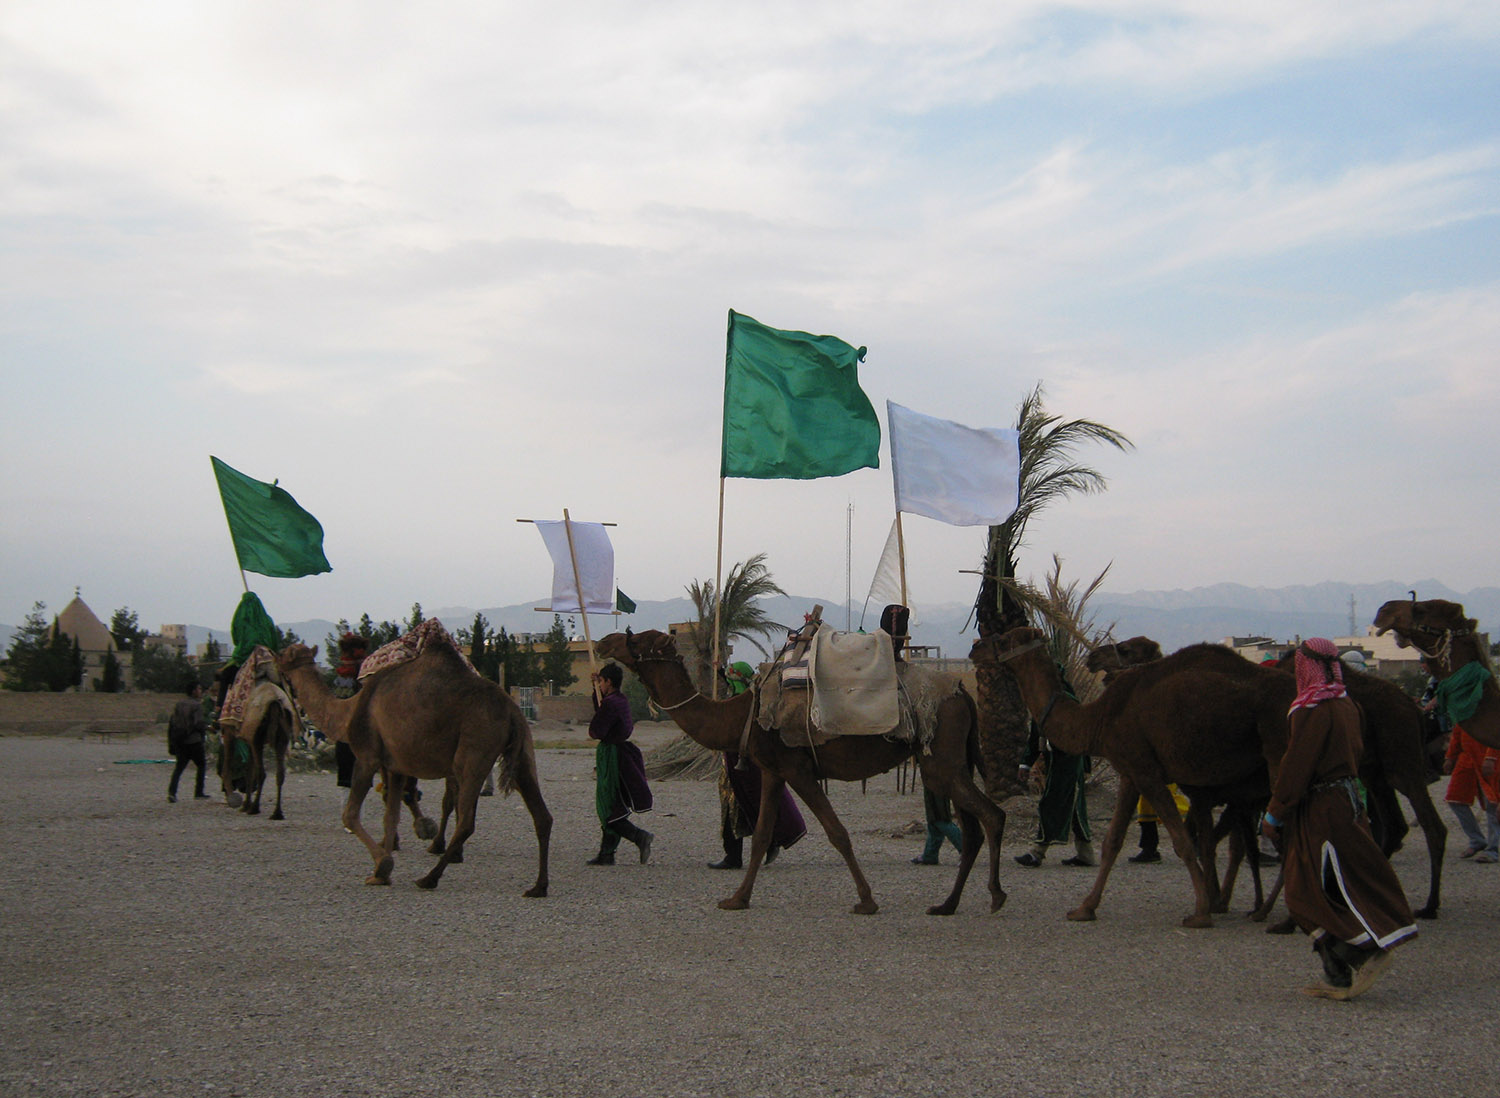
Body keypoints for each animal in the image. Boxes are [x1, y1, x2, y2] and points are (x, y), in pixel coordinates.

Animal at [276, 642, 552, 894]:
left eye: (282, 655)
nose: (273, 661)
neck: (348, 711)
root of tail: (513, 710)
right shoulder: (395, 766)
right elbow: (391, 816)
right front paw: (382, 872)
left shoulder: (367, 756)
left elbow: (351, 814)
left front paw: (383, 865)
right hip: (522, 754)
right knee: (542, 815)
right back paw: (538, 887)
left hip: (474, 750)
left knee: (467, 821)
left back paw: (429, 878)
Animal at [597, 630, 1008, 912]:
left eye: (637, 639)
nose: (604, 641)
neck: (741, 714)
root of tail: (962, 691)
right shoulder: (773, 771)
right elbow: (762, 835)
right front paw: (737, 898)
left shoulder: (798, 768)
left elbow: (837, 832)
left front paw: (866, 901)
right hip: (950, 760)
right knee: (974, 827)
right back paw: (947, 905)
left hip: (941, 760)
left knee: (992, 815)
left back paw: (995, 896)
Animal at [972, 627, 1290, 924]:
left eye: (1003, 639)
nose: (976, 648)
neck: (1097, 718)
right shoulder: (1130, 772)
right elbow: (1113, 841)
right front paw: (1084, 908)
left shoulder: (1147, 772)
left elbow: (1184, 841)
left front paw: (1201, 912)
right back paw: (1265, 909)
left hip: (1279, 753)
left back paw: (1271, 913)